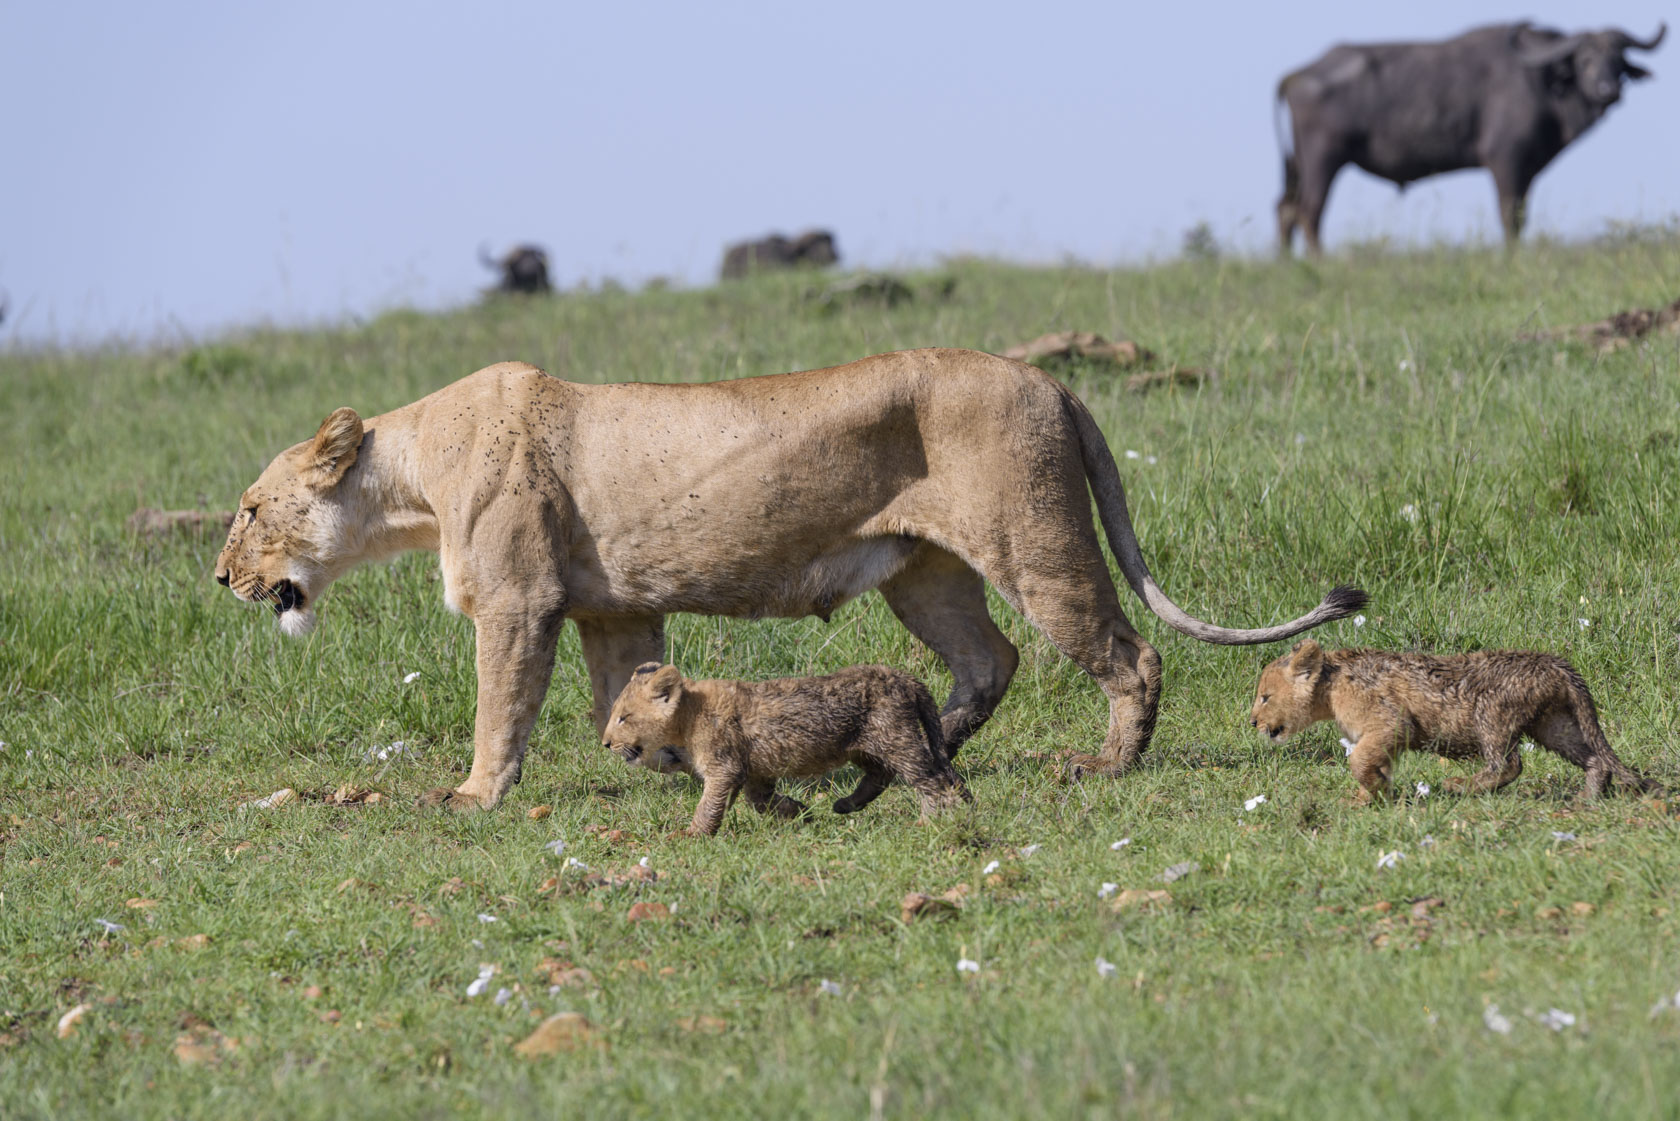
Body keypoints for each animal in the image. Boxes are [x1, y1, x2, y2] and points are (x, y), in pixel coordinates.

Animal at [1276, 23, 1659, 255]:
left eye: (1619, 60)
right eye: (1585, 60)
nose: (1608, 90)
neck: (1543, 85)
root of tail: (1293, 77)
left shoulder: (1528, 168)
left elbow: (1522, 214)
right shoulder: (1506, 159)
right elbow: (1509, 214)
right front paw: (1512, 255)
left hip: (1295, 163)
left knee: (1285, 209)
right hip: (1323, 159)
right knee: (1309, 211)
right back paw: (1320, 260)